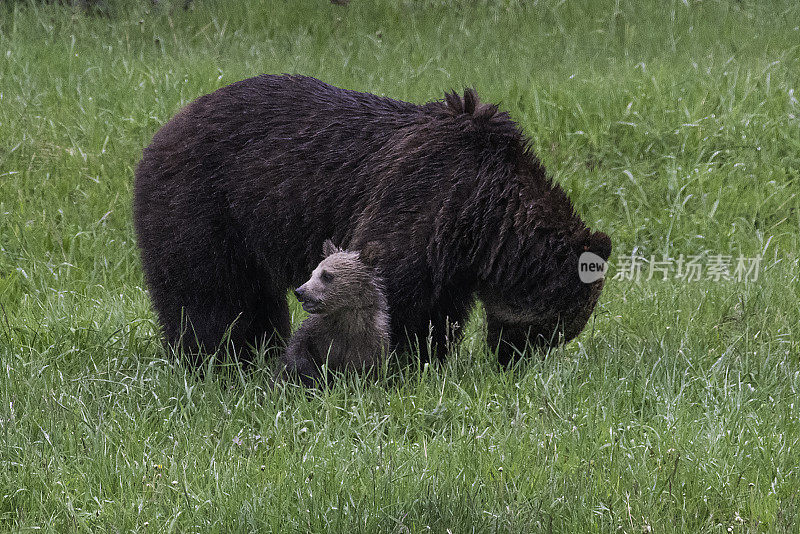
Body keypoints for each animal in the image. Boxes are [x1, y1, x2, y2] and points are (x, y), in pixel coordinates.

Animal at [134, 74, 608, 368]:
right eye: (550, 331)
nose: (512, 364)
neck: (483, 217)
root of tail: (161, 131)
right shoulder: (421, 199)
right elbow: (391, 289)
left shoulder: (450, 255)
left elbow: (437, 314)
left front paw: (426, 358)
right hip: (206, 205)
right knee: (209, 295)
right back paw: (214, 358)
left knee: (253, 298)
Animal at [278, 241, 390, 388]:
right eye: (312, 273)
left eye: (326, 275)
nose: (300, 292)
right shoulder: (315, 335)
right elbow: (296, 359)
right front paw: (311, 379)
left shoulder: (370, 342)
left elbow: (366, 372)